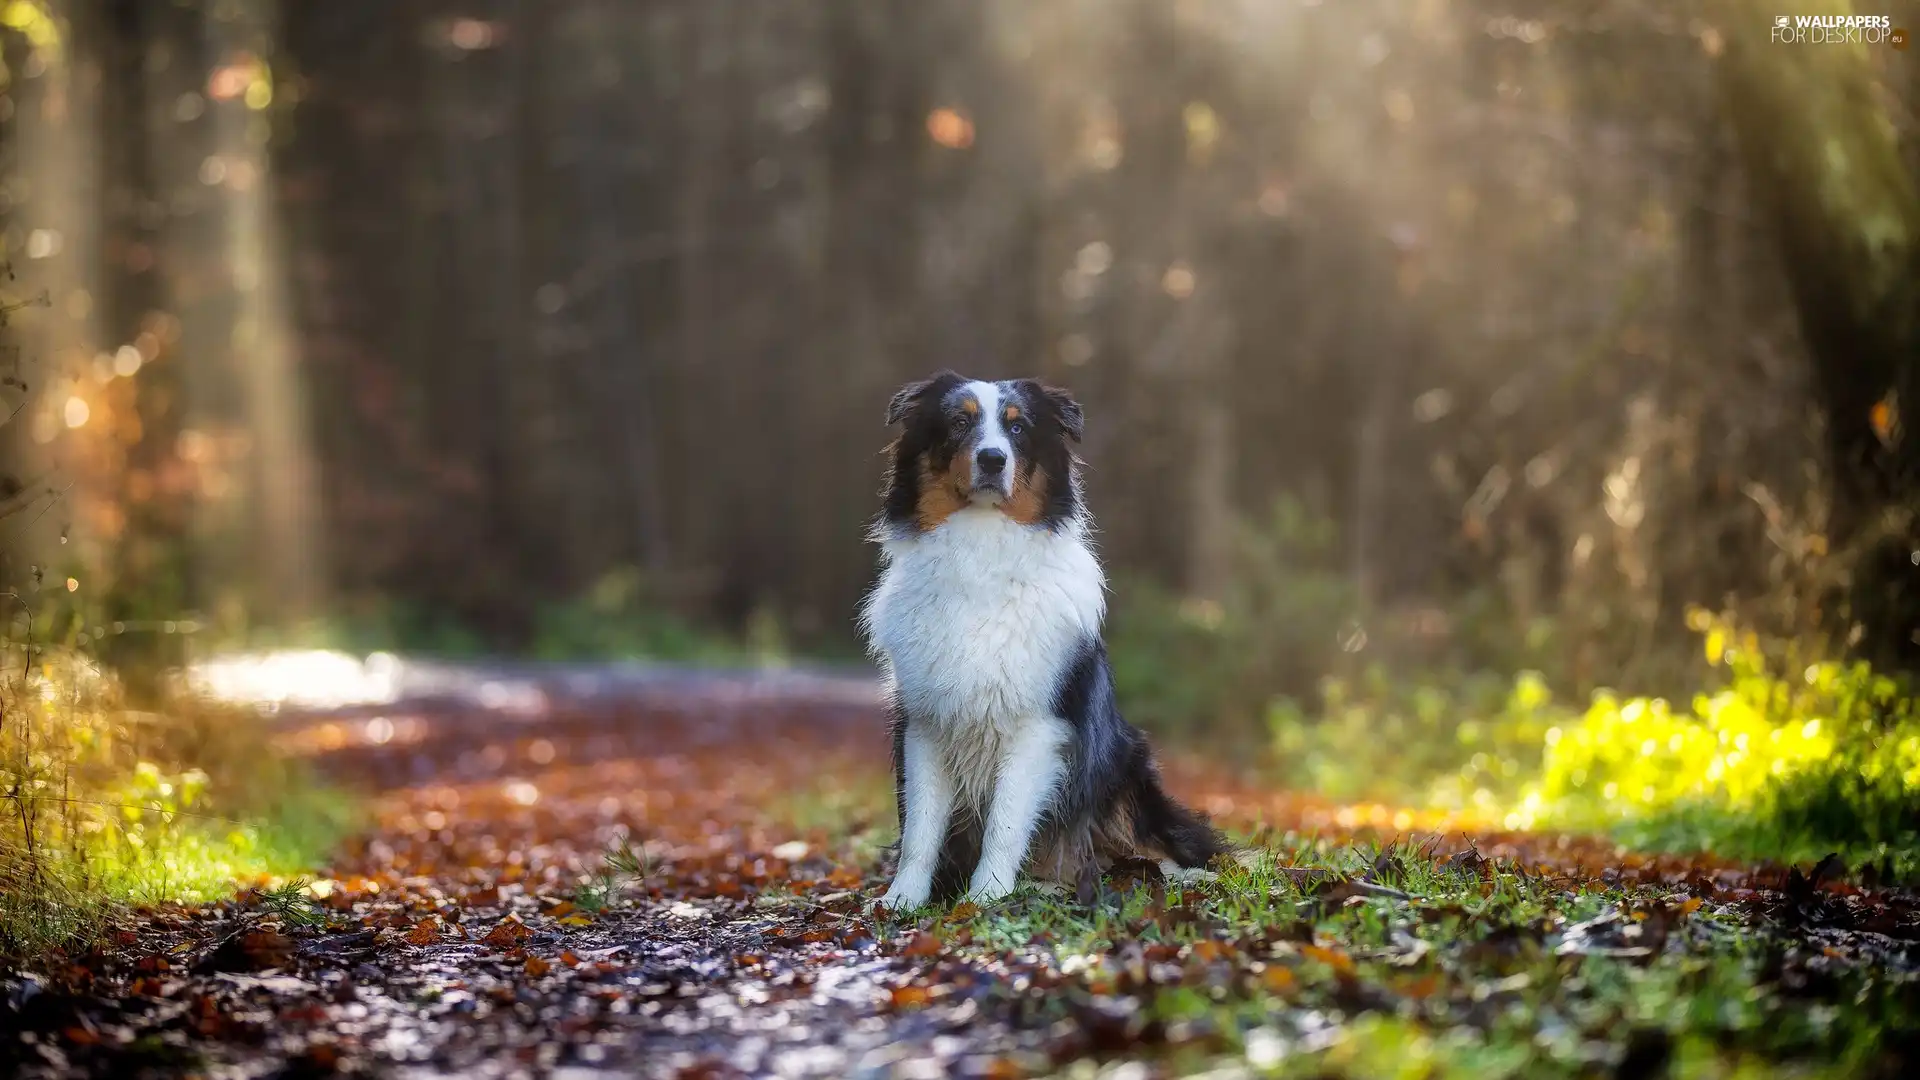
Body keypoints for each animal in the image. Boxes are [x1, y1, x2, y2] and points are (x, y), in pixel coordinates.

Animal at [860, 372, 1221, 907]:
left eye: (1018, 428)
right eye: (959, 422)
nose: (993, 458)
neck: (981, 551)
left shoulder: (1038, 726)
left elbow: (1006, 823)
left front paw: (985, 897)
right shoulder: (925, 725)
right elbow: (920, 831)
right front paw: (902, 899)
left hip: (1124, 774)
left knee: (1169, 846)